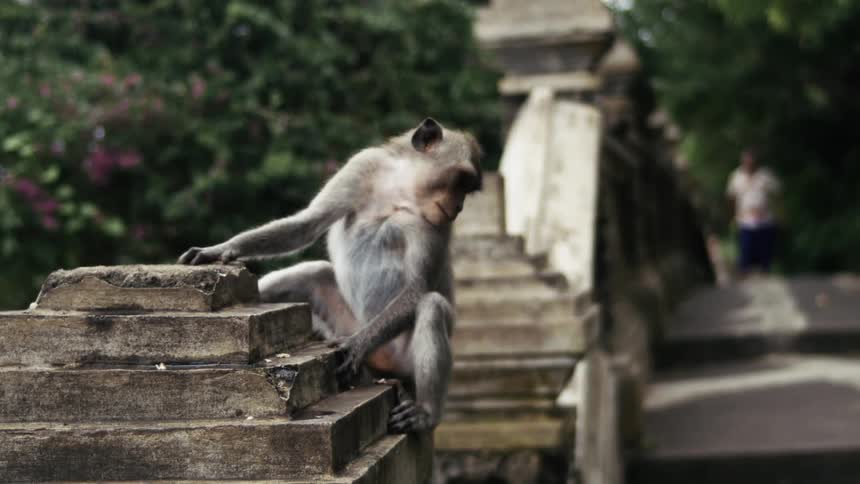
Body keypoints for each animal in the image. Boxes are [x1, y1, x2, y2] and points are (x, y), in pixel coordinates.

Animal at [178, 118, 482, 433]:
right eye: (460, 182)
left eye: (467, 188)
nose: (459, 206)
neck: (401, 191)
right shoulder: (362, 167)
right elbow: (306, 225)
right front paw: (218, 250)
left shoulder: (435, 223)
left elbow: (418, 287)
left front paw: (357, 346)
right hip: (347, 324)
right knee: (315, 272)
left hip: (399, 353)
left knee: (432, 306)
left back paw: (426, 412)